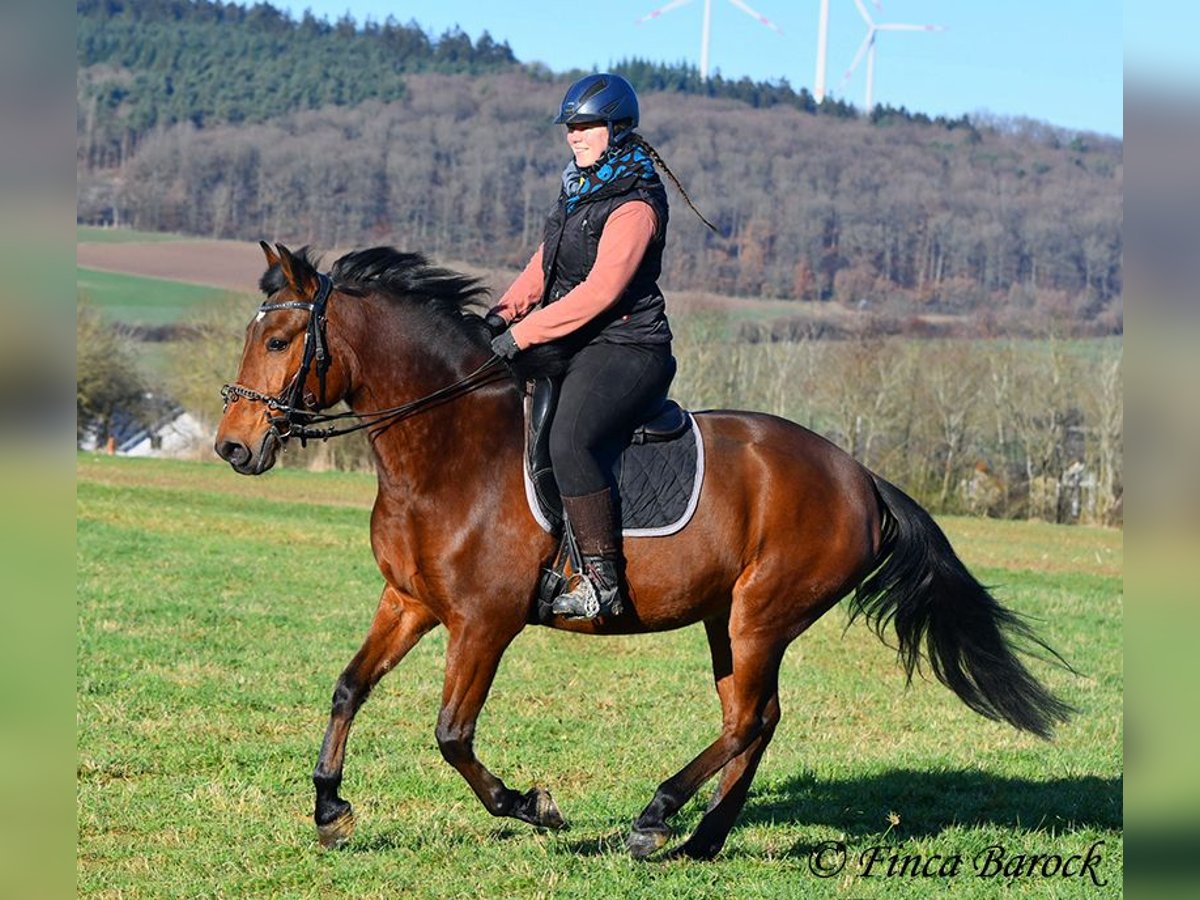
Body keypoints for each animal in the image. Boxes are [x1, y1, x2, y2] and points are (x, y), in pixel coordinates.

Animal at [213, 243, 1070, 864]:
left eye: (281, 340)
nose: (232, 448)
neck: (446, 450)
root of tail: (861, 476)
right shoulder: (411, 601)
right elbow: (348, 689)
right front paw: (330, 809)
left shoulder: (484, 622)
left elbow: (452, 734)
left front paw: (533, 806)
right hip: (730, 620)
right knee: (757, 719)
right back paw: (700, 840)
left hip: (762, 614)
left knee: (747, 719)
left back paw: (656, 817)